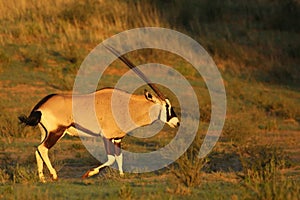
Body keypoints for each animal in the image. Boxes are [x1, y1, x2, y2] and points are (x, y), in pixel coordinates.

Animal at [18, 45, 180, 183]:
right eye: (166, 106)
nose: (177, 122)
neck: (126, 105)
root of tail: (40, 106)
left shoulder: (117, 138)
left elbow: (119, 157)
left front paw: (121, 176)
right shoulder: (106, 136)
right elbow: (111, 159)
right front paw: (88, 174)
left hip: (46, 132)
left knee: (38, 150)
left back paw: (42, 179)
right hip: (56, 132)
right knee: (42, 149)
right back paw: (54, 175)